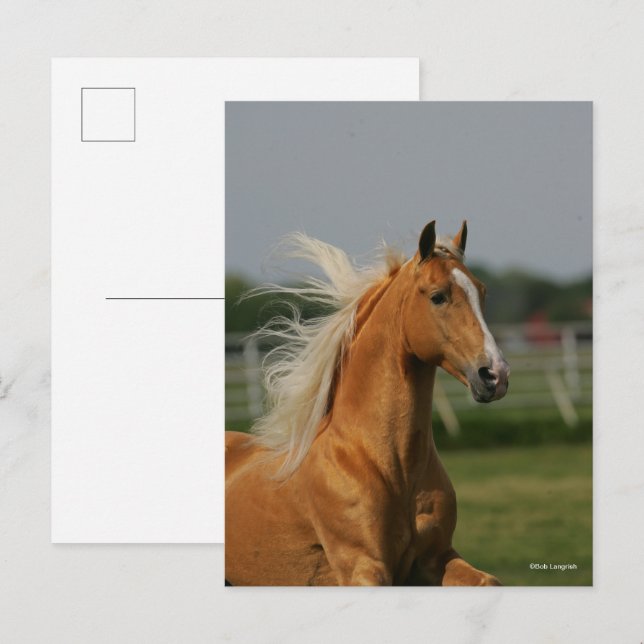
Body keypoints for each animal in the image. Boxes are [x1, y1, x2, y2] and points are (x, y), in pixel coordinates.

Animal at [225, 221, 510, 586]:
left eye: (482, 292)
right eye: (438, 296)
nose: (495, 375)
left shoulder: (435, 558)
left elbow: (490, 580)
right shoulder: (363, 567)